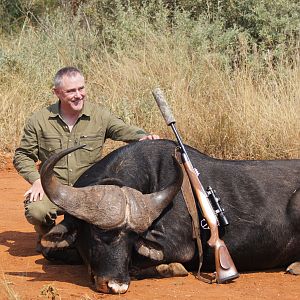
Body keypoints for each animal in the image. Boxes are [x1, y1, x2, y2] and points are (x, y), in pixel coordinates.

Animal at [39, 140, 300, 292]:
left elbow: (142, 263)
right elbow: (50, 252)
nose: (116, 285)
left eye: (132, 238)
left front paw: (172, 268)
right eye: (96, 233)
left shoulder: (178, 248)